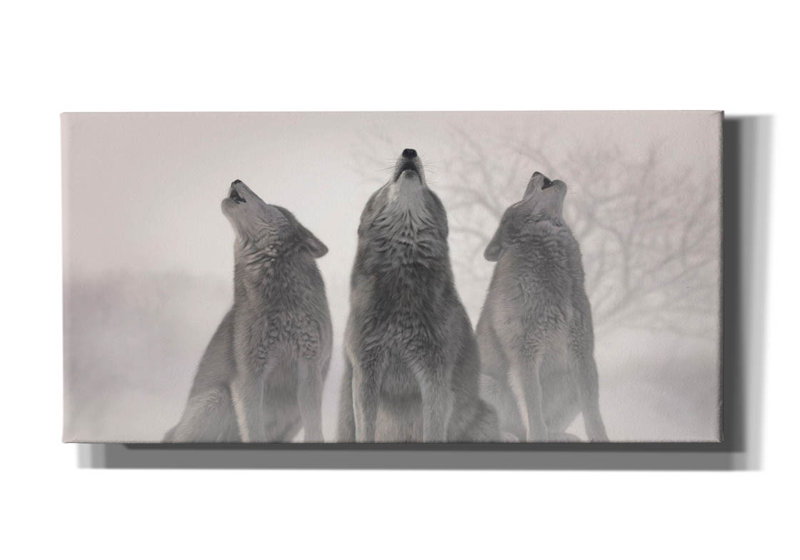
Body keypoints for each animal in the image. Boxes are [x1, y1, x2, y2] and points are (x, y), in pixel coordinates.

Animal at [164, 179, 332, 443]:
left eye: (267, 202)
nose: (236, 180)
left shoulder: (310, 369)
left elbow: (314, 429)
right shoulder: (248, 375)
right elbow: (253, 429)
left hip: (290, 415)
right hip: (217, 398)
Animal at [337, 149, 499, 443]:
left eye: (428, 189)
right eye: (385, 185)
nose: (409, 151)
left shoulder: (435, 376)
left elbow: (433, 429)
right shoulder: (365, 373)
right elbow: (366, 429)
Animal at [476, 171, 608, 442]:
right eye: (518, 201)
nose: (536, 172)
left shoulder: (583, 353)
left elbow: (594, 416)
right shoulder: (525, 355)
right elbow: (534, 411)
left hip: (570, 380)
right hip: (487, 384)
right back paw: (506, 436)